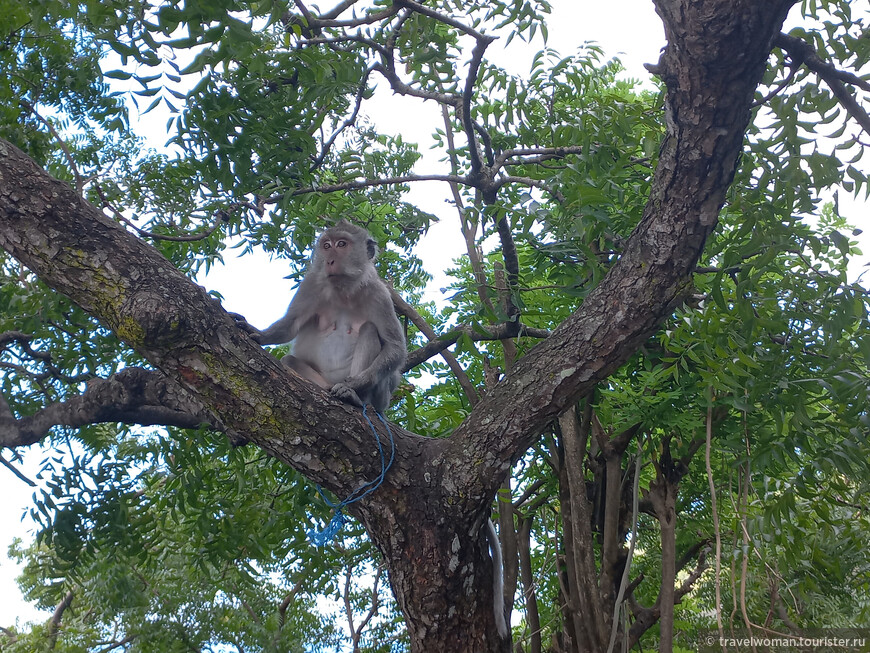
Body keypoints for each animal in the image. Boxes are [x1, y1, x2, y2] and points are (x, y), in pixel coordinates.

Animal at [233, 220, 408, 412]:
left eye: (341, 244)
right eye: (326, 246)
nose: (329, 261)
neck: (343, 290)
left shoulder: (380, 295)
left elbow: (394, 346)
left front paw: (356, 383)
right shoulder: (310, 285)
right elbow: (290, 325)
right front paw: (259, 334)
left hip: (381, 399)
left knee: (369, 330)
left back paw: (355, 397)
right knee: (289, 360)